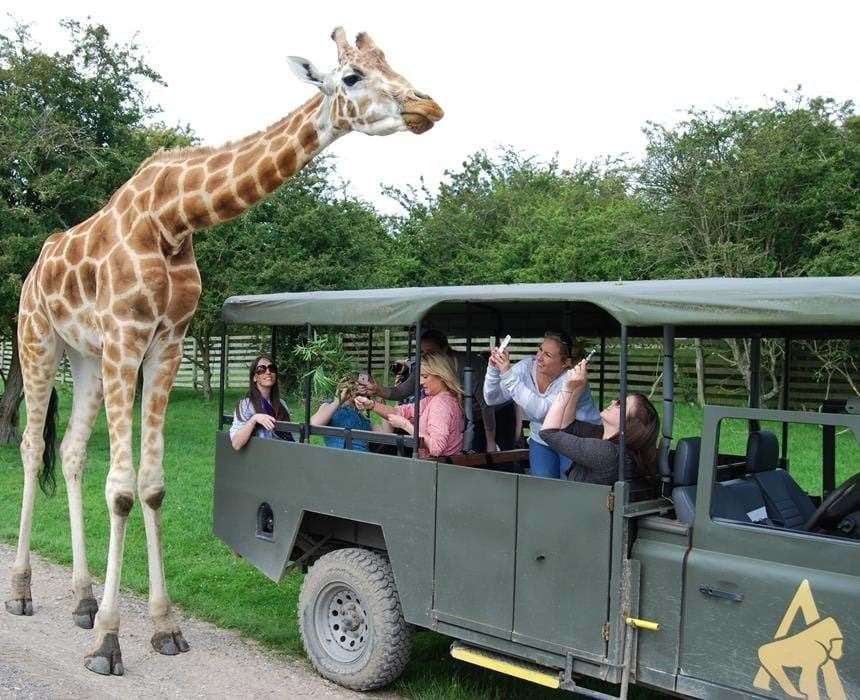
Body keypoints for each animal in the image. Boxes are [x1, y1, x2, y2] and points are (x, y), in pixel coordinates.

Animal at [8, 28, 444, 680]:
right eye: (352, 77)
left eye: (392, 61)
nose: (427, 106)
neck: (173, 216)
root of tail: (36, 268)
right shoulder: (127, 336)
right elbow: (123, 489)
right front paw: (109, 643)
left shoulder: (167, 341)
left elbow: (151, 486)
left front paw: (163, 628)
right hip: (38, 339)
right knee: (33, 448)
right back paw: (23, 590)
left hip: (84, 358)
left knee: (70, 452)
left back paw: (82, 600)